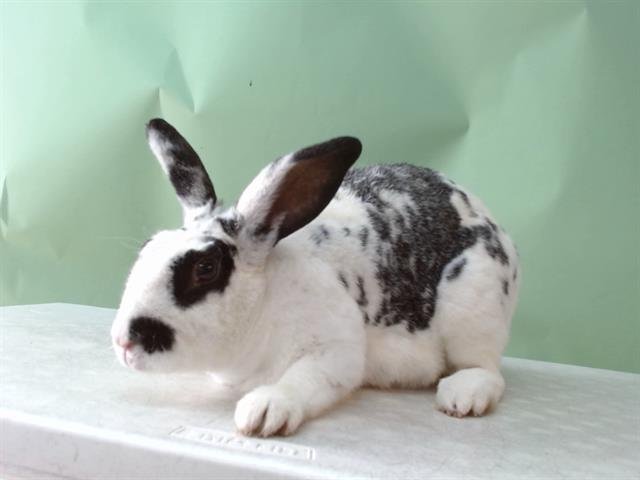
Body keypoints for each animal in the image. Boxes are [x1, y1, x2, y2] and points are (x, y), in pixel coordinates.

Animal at [111, 118, 520, 437]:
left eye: (205, 268)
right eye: (148, 246)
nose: (122, 341)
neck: (264, 300)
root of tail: (495, 226)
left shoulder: (335, 351)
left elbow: (303, 379)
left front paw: (263, 412)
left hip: (473, 311)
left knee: (487, 370)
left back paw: (461, 397)